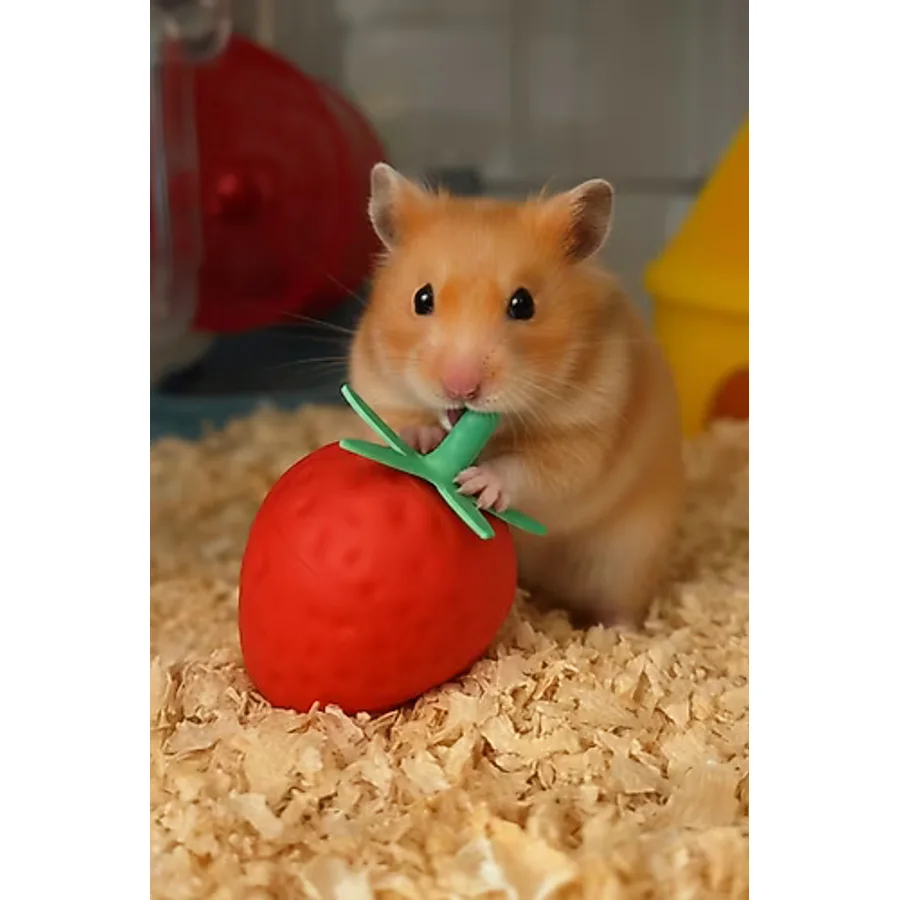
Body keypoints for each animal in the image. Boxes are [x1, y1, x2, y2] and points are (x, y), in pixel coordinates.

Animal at [348, 163, 684, 629]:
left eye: (523, 304)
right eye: (422, 298)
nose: (461, 388)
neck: (496, 432)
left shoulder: (587, 433)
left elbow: (539, 468)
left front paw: (478, 485)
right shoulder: (376, 387)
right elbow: (396, 421)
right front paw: (423, 440)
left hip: (628, 556)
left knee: (622, 604)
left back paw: (620, 632)